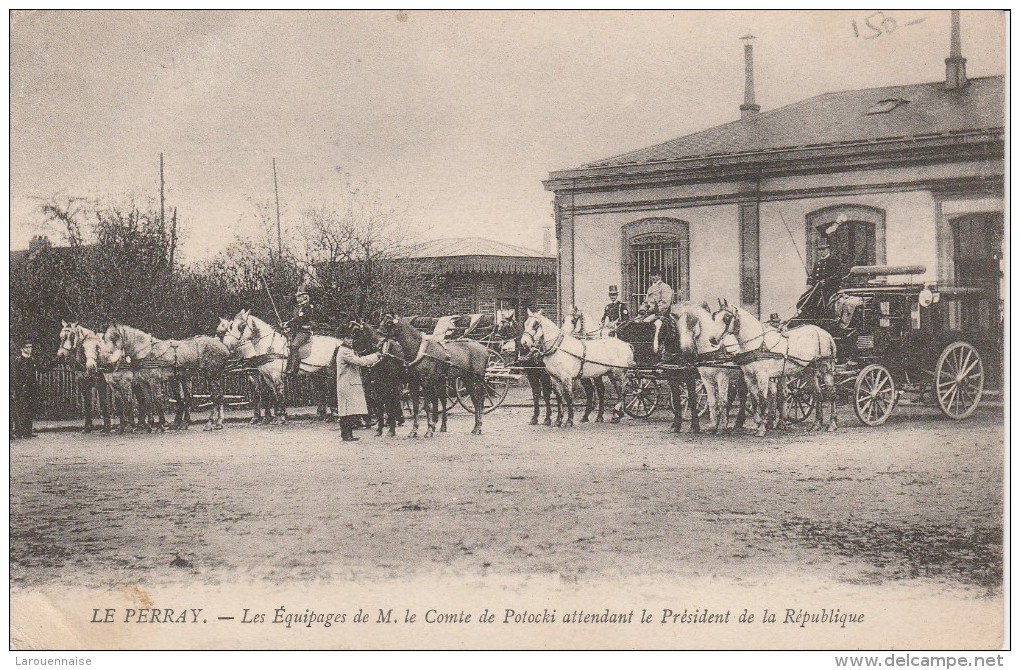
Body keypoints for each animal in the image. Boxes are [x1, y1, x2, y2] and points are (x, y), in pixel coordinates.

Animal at [709, 299, 836, 436]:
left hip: (826, 368)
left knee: (831, 393)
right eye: (714, 316)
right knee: (818, 394)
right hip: (809, 370)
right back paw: (816, 424)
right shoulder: (749, 377)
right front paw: (760, 422)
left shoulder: (762, 376)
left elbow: (762, 400)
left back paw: (832, 424)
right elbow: (754, 400)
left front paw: (761, 428)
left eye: (726, 318)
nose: (712, 339)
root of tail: (824, 333)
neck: (758, 343)